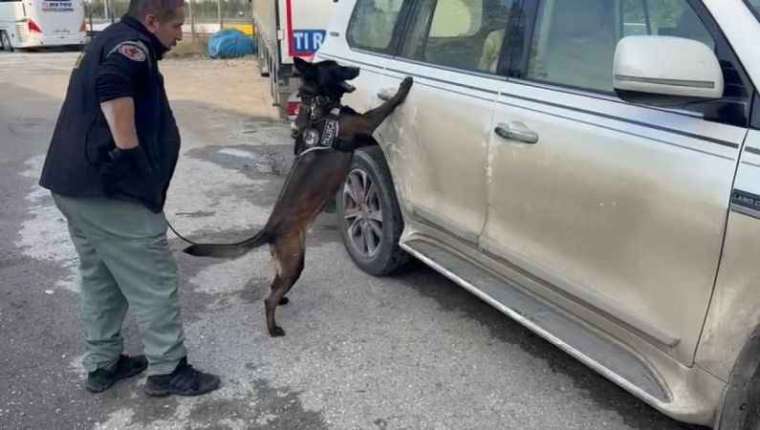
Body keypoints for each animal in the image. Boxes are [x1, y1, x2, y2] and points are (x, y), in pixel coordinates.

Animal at [184, 58, 412, 340]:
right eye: (337, 67)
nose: (357, 68)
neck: (321, 108)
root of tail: (268, 230)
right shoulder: (366, 122)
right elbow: (385, 106)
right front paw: (404, 86)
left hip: (286, 261)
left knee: (274, 285)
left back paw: (281, 300)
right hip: (295, 262)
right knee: (268, 298)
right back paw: (273, 328)